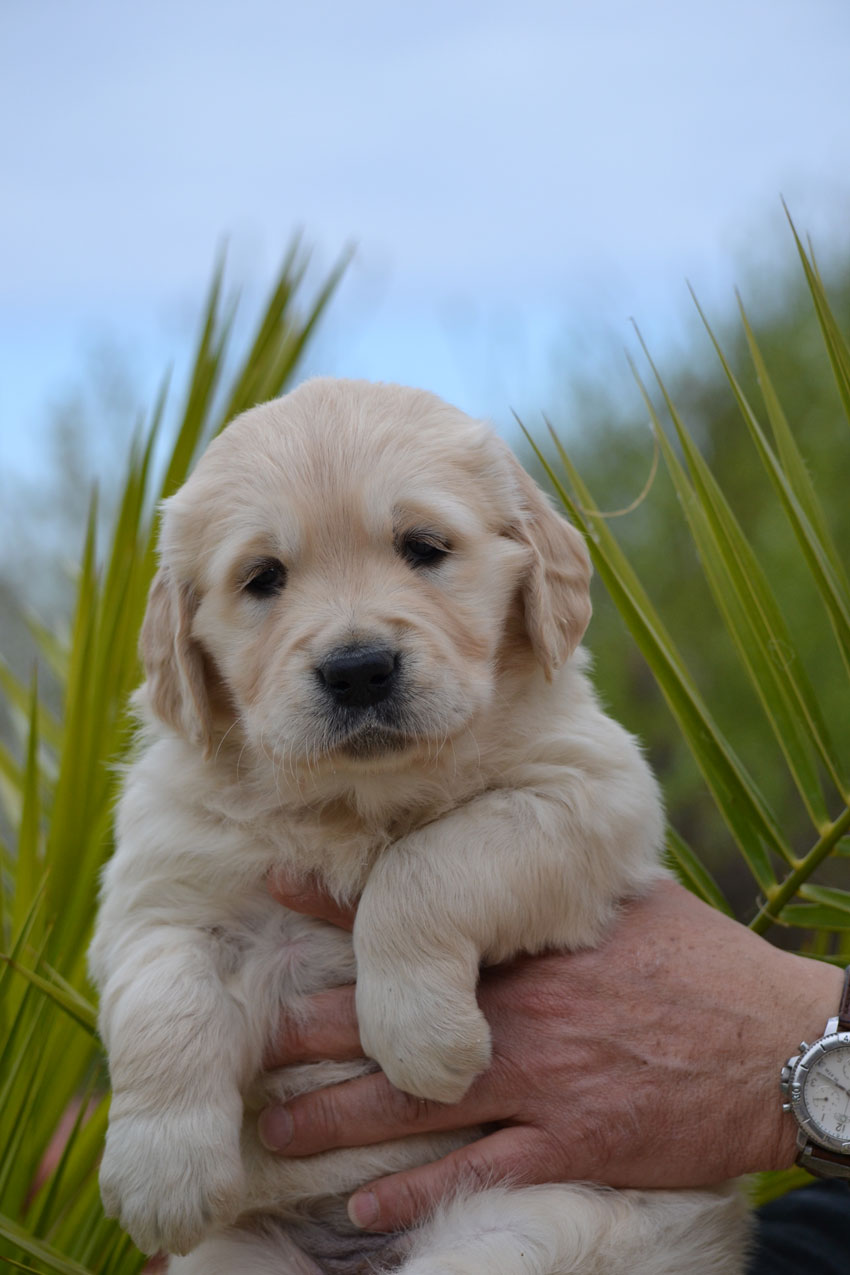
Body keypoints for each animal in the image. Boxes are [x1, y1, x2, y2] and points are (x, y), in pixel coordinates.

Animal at [89, 379, 749, 1275]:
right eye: (264, 577)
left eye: (423, 547)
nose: (358, 668)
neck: (351, 800)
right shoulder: (158, 881)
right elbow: (163, 995)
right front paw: (159, 1172)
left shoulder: (588, 791)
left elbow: (426, 864)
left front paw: (419, 1032)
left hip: (529, 1225)